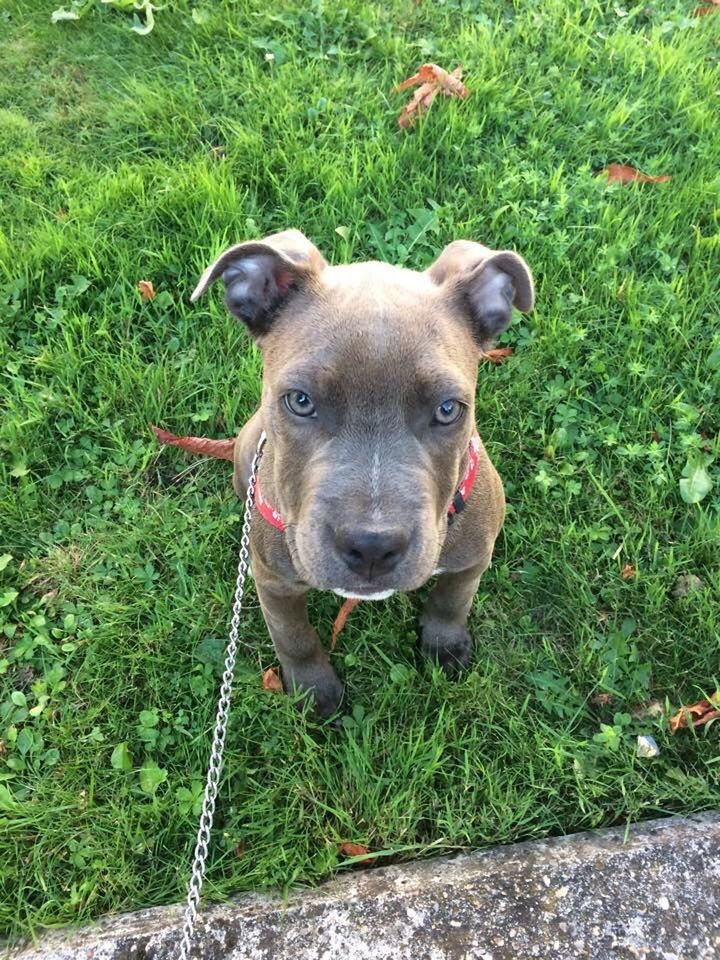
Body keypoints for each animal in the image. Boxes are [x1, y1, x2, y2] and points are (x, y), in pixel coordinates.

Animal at [188, 231, 532, 712]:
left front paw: (444, 645)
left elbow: (452, 600)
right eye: (300, 401)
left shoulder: (473, 556)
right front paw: (314, 689)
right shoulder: (275, 583)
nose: (372, 546)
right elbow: (294, 637)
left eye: (448, 409)